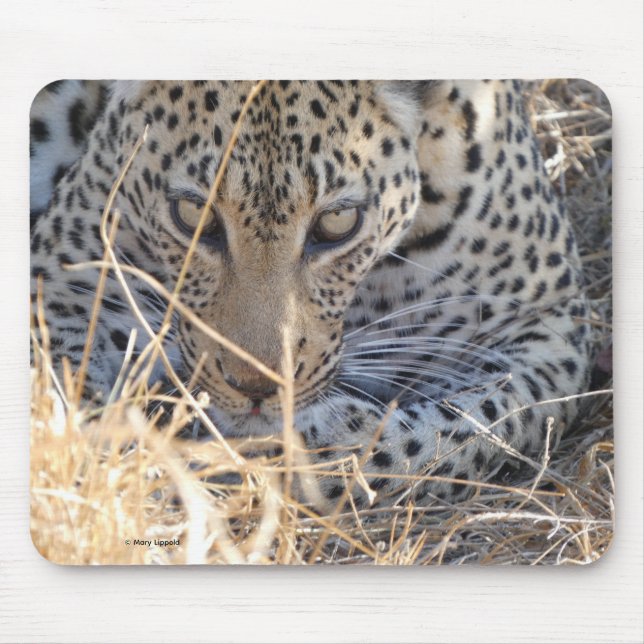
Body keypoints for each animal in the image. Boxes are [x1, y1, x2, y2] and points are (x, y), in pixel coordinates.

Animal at [30, 79, 592, 506]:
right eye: (192, 215)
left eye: (338, 224)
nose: (256, 390)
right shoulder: (67, 268)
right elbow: (64, 389)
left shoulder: (547, 320)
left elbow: (483, 425)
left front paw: (308, 444)